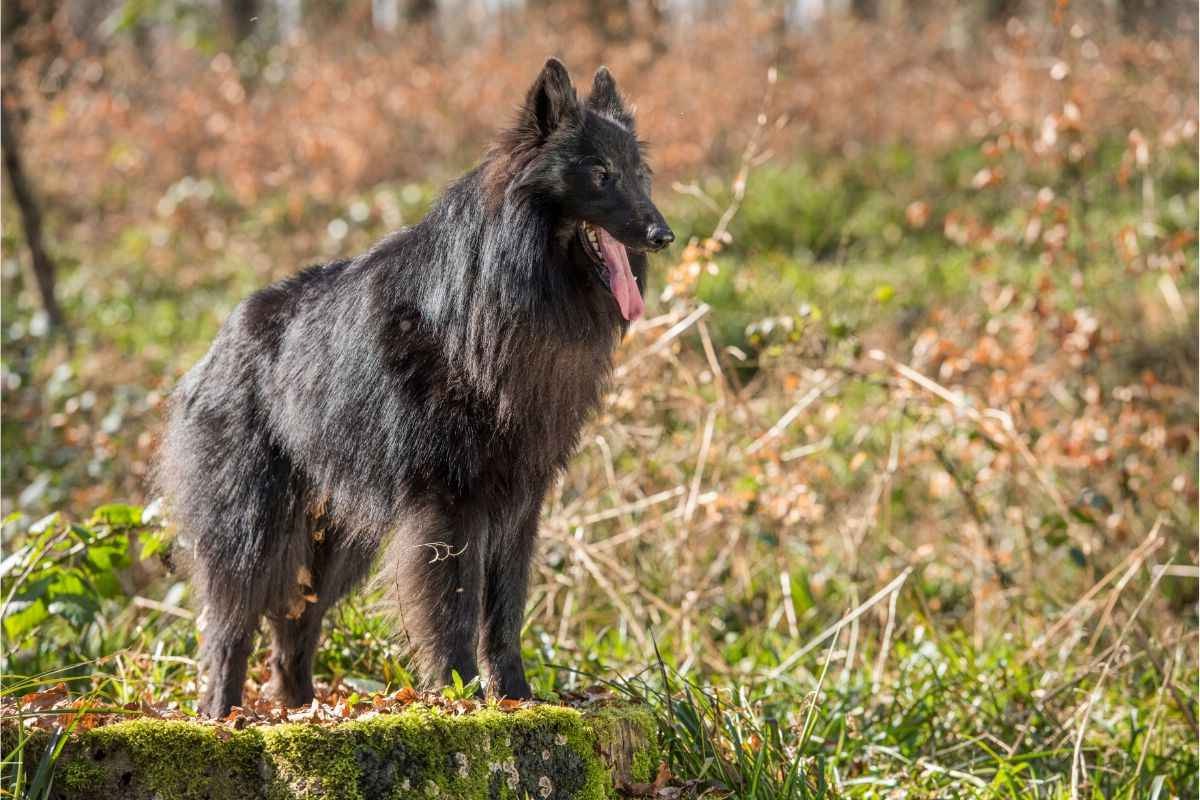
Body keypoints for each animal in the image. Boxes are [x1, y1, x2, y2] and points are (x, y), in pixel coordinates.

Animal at [154, 59, 672, 714]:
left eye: (640, 175)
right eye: (601, 175)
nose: (663, 234)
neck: (493, 302)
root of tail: (214, 350)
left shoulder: (519, 503)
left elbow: (503, 615)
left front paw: (517, 698)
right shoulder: (448, 506)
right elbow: (453, 611)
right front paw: (461, 695)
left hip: (335, 546)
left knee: (294, 632)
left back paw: (304, 713)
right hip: (254, 530)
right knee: (230, 630)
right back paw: (221, 716)